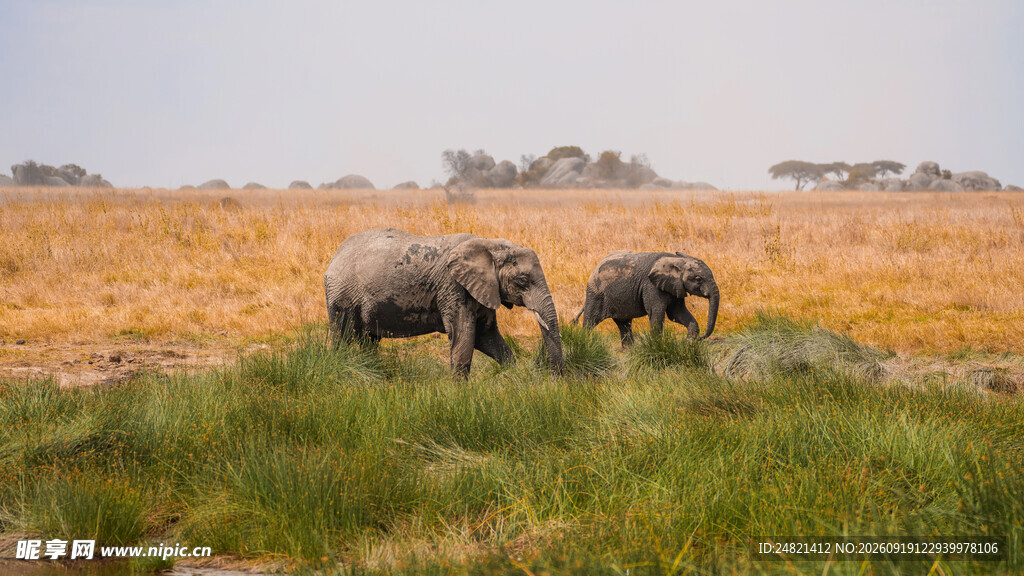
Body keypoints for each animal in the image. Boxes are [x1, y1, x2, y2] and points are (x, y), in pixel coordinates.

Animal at [324, 228, 563, 376]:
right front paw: (459, 394)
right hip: (342, 295)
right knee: (343, 336)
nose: (557, 380)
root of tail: (334, 256)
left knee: (369, 340)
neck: (489, 244)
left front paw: (513, 376)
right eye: (523, 280)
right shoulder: (453, 287)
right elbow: (464, 335)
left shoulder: (483, 289)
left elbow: (486, 336)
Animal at [572, 251, 719, 346]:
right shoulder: (651, 286)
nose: (701, 338)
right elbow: (657, 313)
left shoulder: (675, 286)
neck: (675, 260)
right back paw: (585, 344)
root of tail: (595, 267)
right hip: (595, 293)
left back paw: (629, 351)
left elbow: (677, 313)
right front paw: (658, 345)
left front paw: (689, 342)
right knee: (591, 320)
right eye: (698, 278)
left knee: (624, 323)